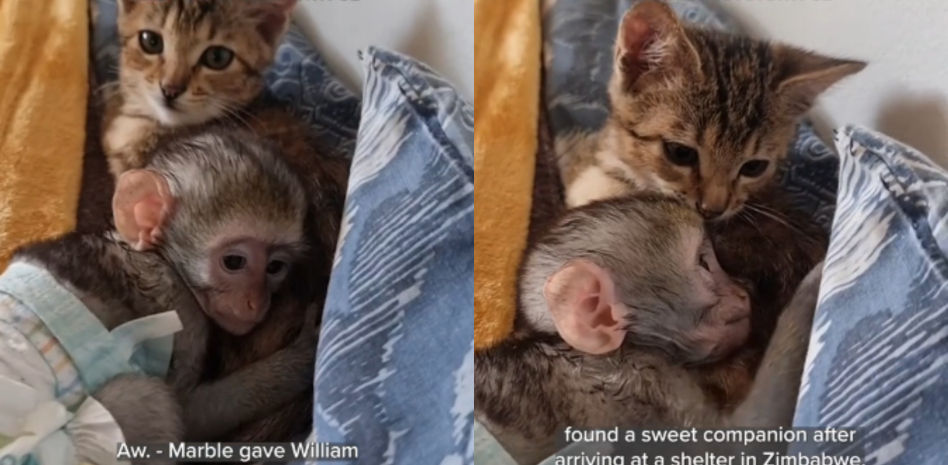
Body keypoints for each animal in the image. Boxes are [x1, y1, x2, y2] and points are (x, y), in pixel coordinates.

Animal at [0, 129, 316, 464]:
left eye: (275, 267)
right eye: (234, 262)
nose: (257, 302)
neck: (155, 255)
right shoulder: (184, 312)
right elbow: (192, 414)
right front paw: (301, 358)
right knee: (146, 396)